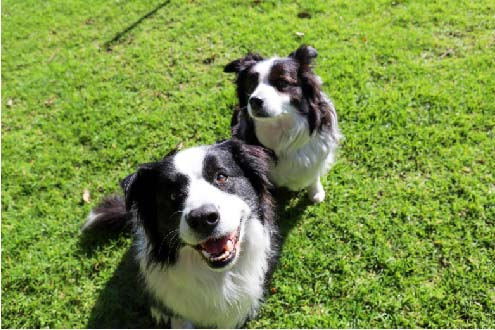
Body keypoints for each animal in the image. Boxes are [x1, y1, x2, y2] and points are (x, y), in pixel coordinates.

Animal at [225, 44, 340, 202]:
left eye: (282, 83)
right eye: (251, 85)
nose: (254, 101)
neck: (281, 127)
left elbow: (314, 173)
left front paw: (316, 192)